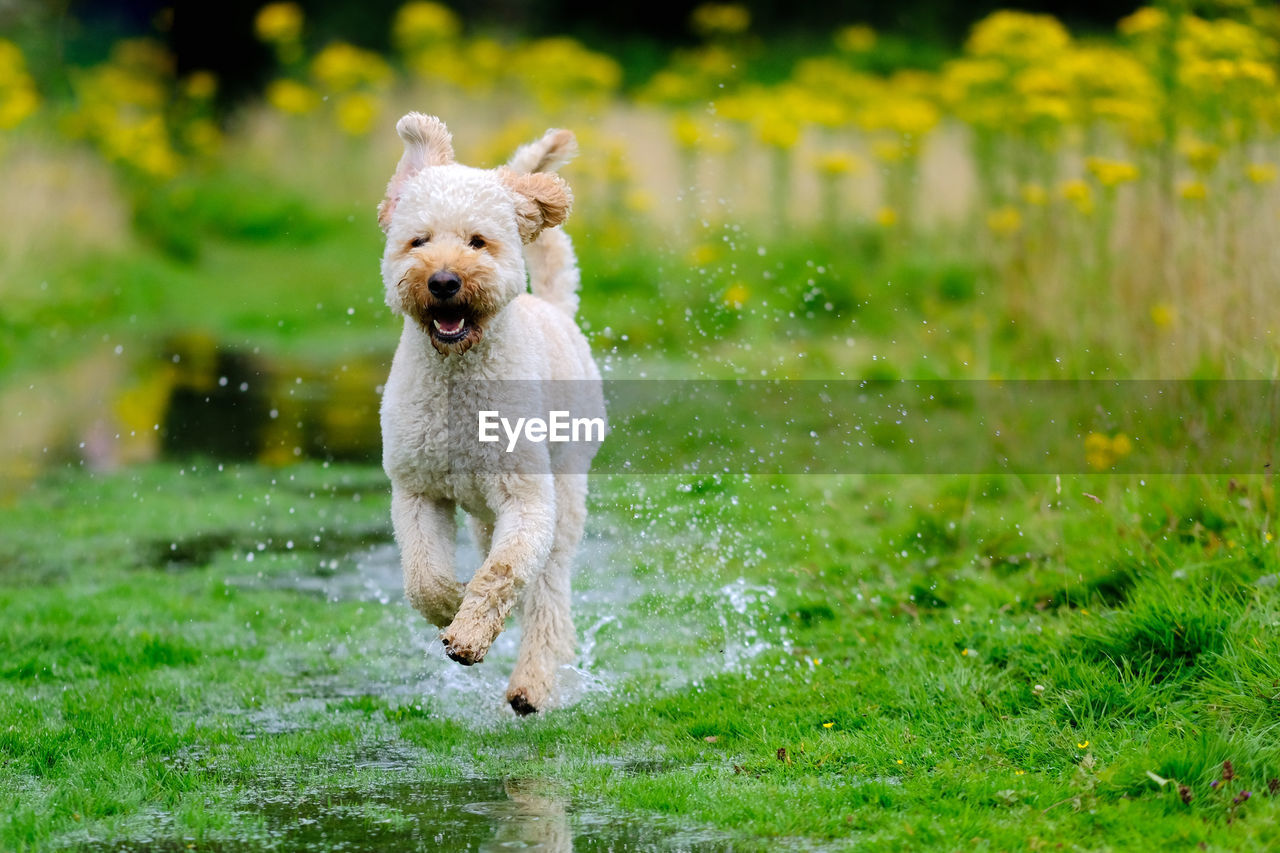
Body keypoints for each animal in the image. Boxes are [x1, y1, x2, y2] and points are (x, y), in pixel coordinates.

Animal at [373, 112, 604, 712]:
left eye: (478, 241)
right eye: (418, 240)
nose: (443, 281)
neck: (456, 378)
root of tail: (552, 306)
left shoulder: (527, 500)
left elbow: (504, 571)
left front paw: (471, 634)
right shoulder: (417, 491)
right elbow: (423, 578)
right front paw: (453, 606)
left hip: (564, 495)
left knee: (547, 595)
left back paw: (532, 683)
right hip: (481, 514)